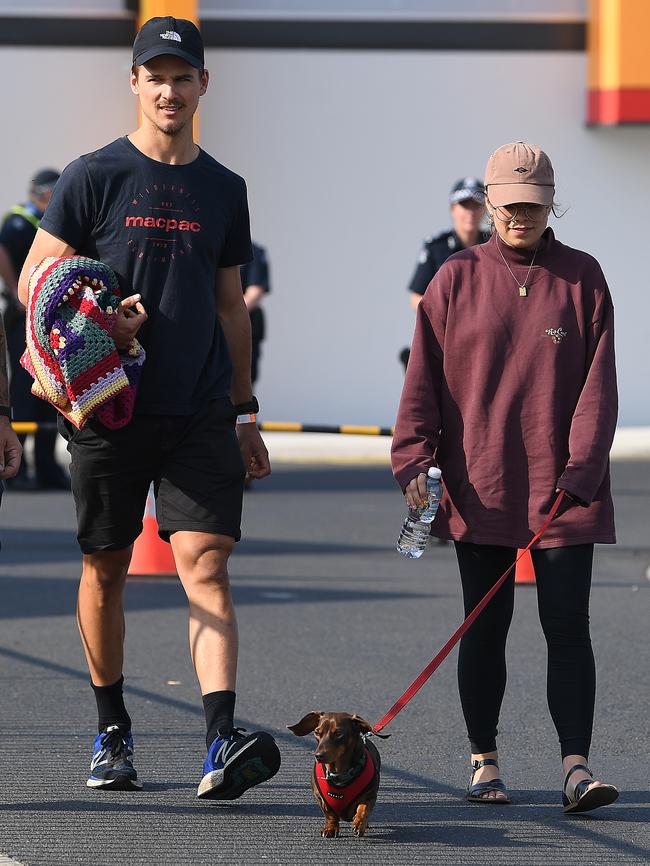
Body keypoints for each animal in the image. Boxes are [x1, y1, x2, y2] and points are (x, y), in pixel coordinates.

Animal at [286, 708, 388, 836]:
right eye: (317, 732)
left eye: (338, 733)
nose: (318, 756)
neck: (339, 775)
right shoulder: (320, 798)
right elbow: (330, 814)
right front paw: (330, 828)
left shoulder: (370, 795)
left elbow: (363, 809)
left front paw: (359, 823)